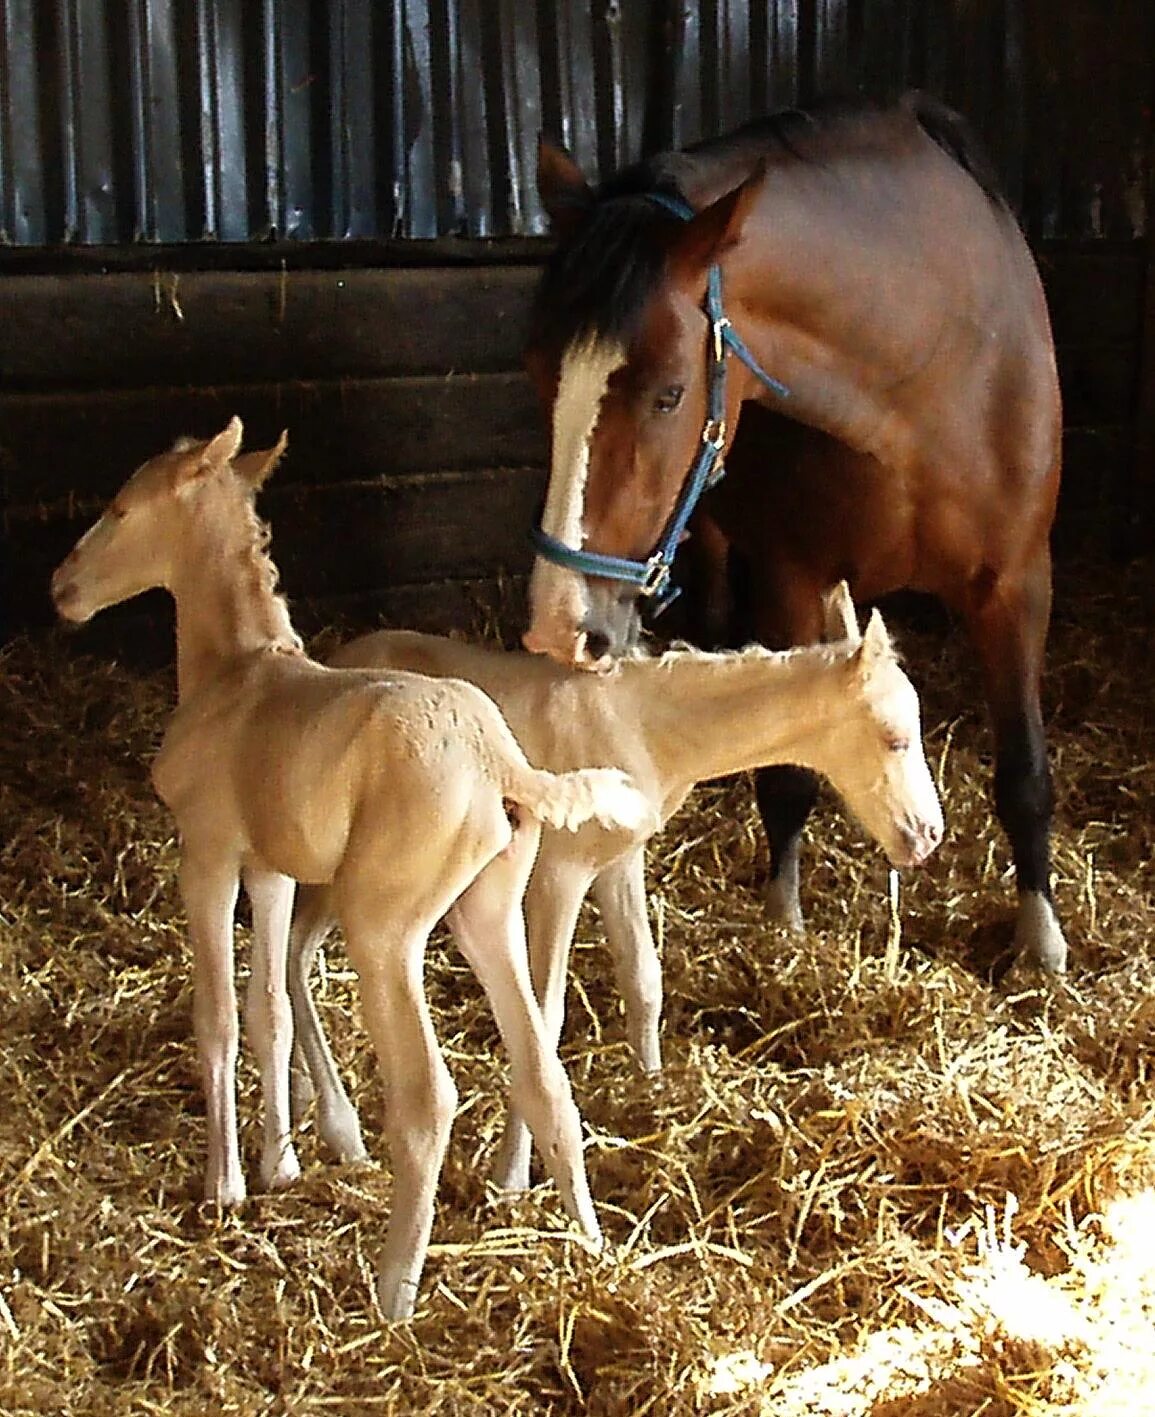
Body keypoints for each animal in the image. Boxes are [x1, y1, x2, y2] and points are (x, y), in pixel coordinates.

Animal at [49, 416, 654, 1314]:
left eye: (120, 507)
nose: (63, 587)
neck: (237, 676)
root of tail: (500, 763)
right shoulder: (268, 869)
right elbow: (269, 1007)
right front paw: (281, 1164)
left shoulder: (207, 853)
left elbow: (220, 1015)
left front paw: (225, 1187)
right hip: (486, 913)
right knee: (544, 1074)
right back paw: (587, 1244)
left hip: (385, 929)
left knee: (428, 1095)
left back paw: (394, 1290)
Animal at [286, 586, 941, 1195]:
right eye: (894, 737)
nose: (929, 835)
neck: (644, 726)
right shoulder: (559, 872)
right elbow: (546, 1014)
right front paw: (514, 1173)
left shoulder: (621, 859)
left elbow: (643, 977)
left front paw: (652, 1091)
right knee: (294, 951)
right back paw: (331, 1126)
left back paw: (301, 1098)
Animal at [524, 91, 1065, 974]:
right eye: (541, 375)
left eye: (669, 392)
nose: (558, 622)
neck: (925, 354)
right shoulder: (789, 575)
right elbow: (785, 776)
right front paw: (782, 917)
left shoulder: (1014, 582)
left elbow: (1023, 771)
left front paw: (1041, 940)